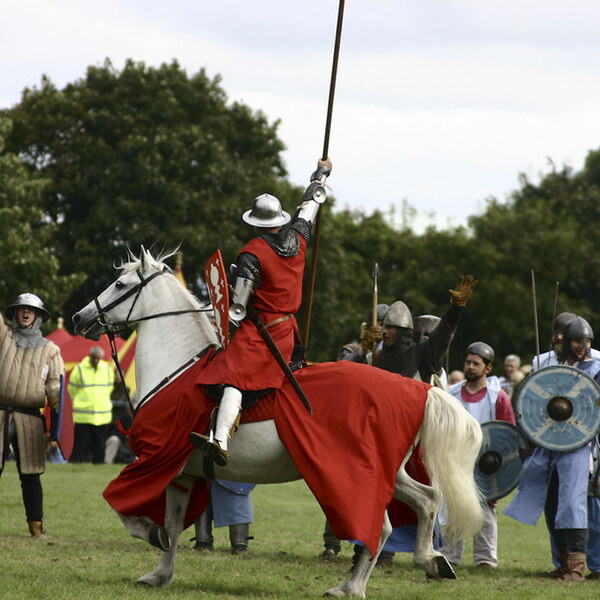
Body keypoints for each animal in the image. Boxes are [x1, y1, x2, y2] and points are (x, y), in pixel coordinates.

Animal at [72, 247, 482, 596]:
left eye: (121, 285)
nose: (80, 317)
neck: (178, 366)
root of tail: (417, 389)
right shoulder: (182, 473)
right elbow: (172, 525)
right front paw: (160, 574)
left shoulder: (156, 461)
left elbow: (123, 505)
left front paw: (149, 533)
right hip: (390, 471)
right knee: (427, 500)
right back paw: (424, 562)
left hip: (355, 476)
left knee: (380, 526)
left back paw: (352, 587)